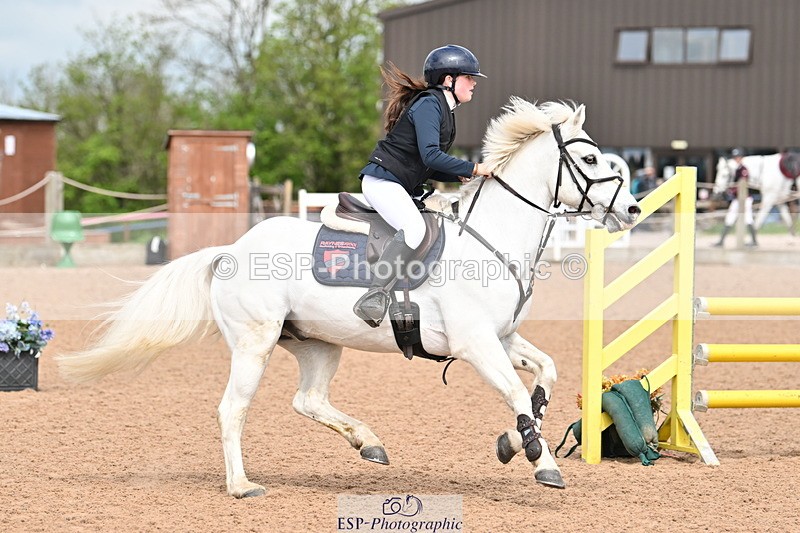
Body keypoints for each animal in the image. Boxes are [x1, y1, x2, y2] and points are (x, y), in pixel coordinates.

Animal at [56, 98, 641, 498]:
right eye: (592, 159)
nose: (633, 211)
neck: (493, 236)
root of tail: (228, 251)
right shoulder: (475, 344)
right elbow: (518, 394)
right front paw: (543, 463)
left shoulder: (504, 337)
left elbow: (545, 377)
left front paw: (517, 442)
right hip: (255, 343)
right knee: (232, 409)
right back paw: (242, 486)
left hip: (318, 343)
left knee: (308, 400)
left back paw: (368, 442)